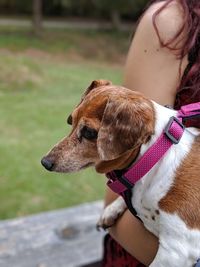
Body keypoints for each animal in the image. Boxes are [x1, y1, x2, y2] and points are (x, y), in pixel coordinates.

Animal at [41, 80, 200, 267]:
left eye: (89, 132)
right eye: (71, 120)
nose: (45, 162)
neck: (154, 157)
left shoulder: (177, 250)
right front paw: (112, 209)